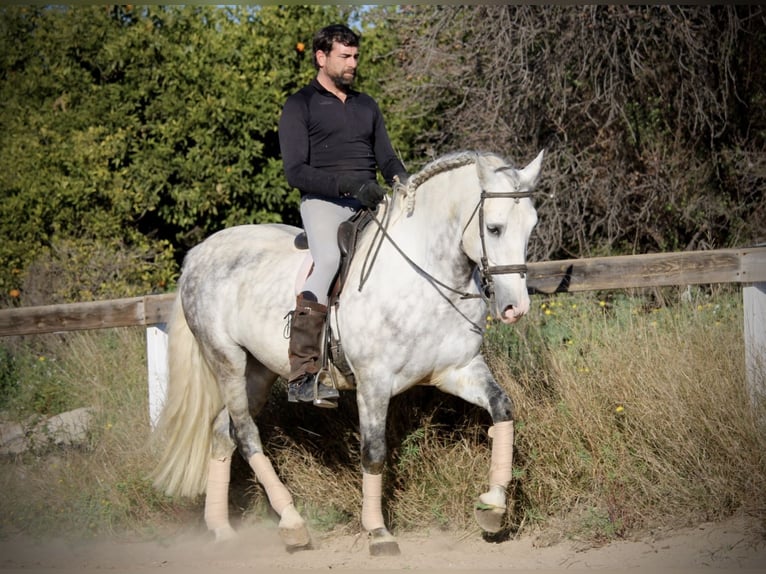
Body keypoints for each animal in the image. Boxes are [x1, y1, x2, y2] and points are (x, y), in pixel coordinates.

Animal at [152, 151, 544, 556]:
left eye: (531, 226)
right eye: (494, 228)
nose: (515, 308)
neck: (425, 275)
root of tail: (198, 254)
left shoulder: (459, 369)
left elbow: (502, 408)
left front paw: (494, 507)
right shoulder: (373, 382)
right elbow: (373, 452)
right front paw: (378, 532)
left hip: (257, 373)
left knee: (222, 431)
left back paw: (222, 530)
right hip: (226, 360)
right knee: (246, 435)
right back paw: (292, 523)